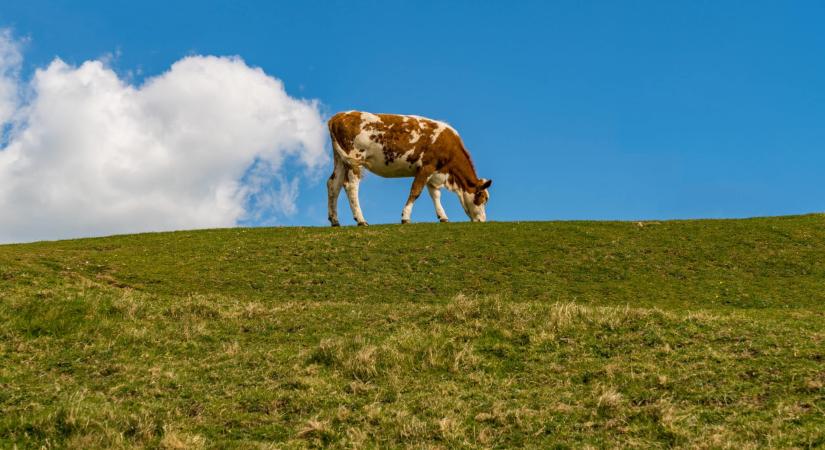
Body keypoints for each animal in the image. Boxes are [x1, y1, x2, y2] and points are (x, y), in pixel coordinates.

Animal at [326, 111, 490, 227]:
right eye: (482, 197)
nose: (483, 220)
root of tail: (338, 116)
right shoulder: (426, 167)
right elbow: (415, 192)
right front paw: (405, 217)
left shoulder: (434, 173)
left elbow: (435, 195)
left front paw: (443, 217)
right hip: (355, 158)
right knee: (351, 186)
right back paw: (361, 220)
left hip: (340, 159)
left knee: (333, 184)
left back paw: (335, 220)